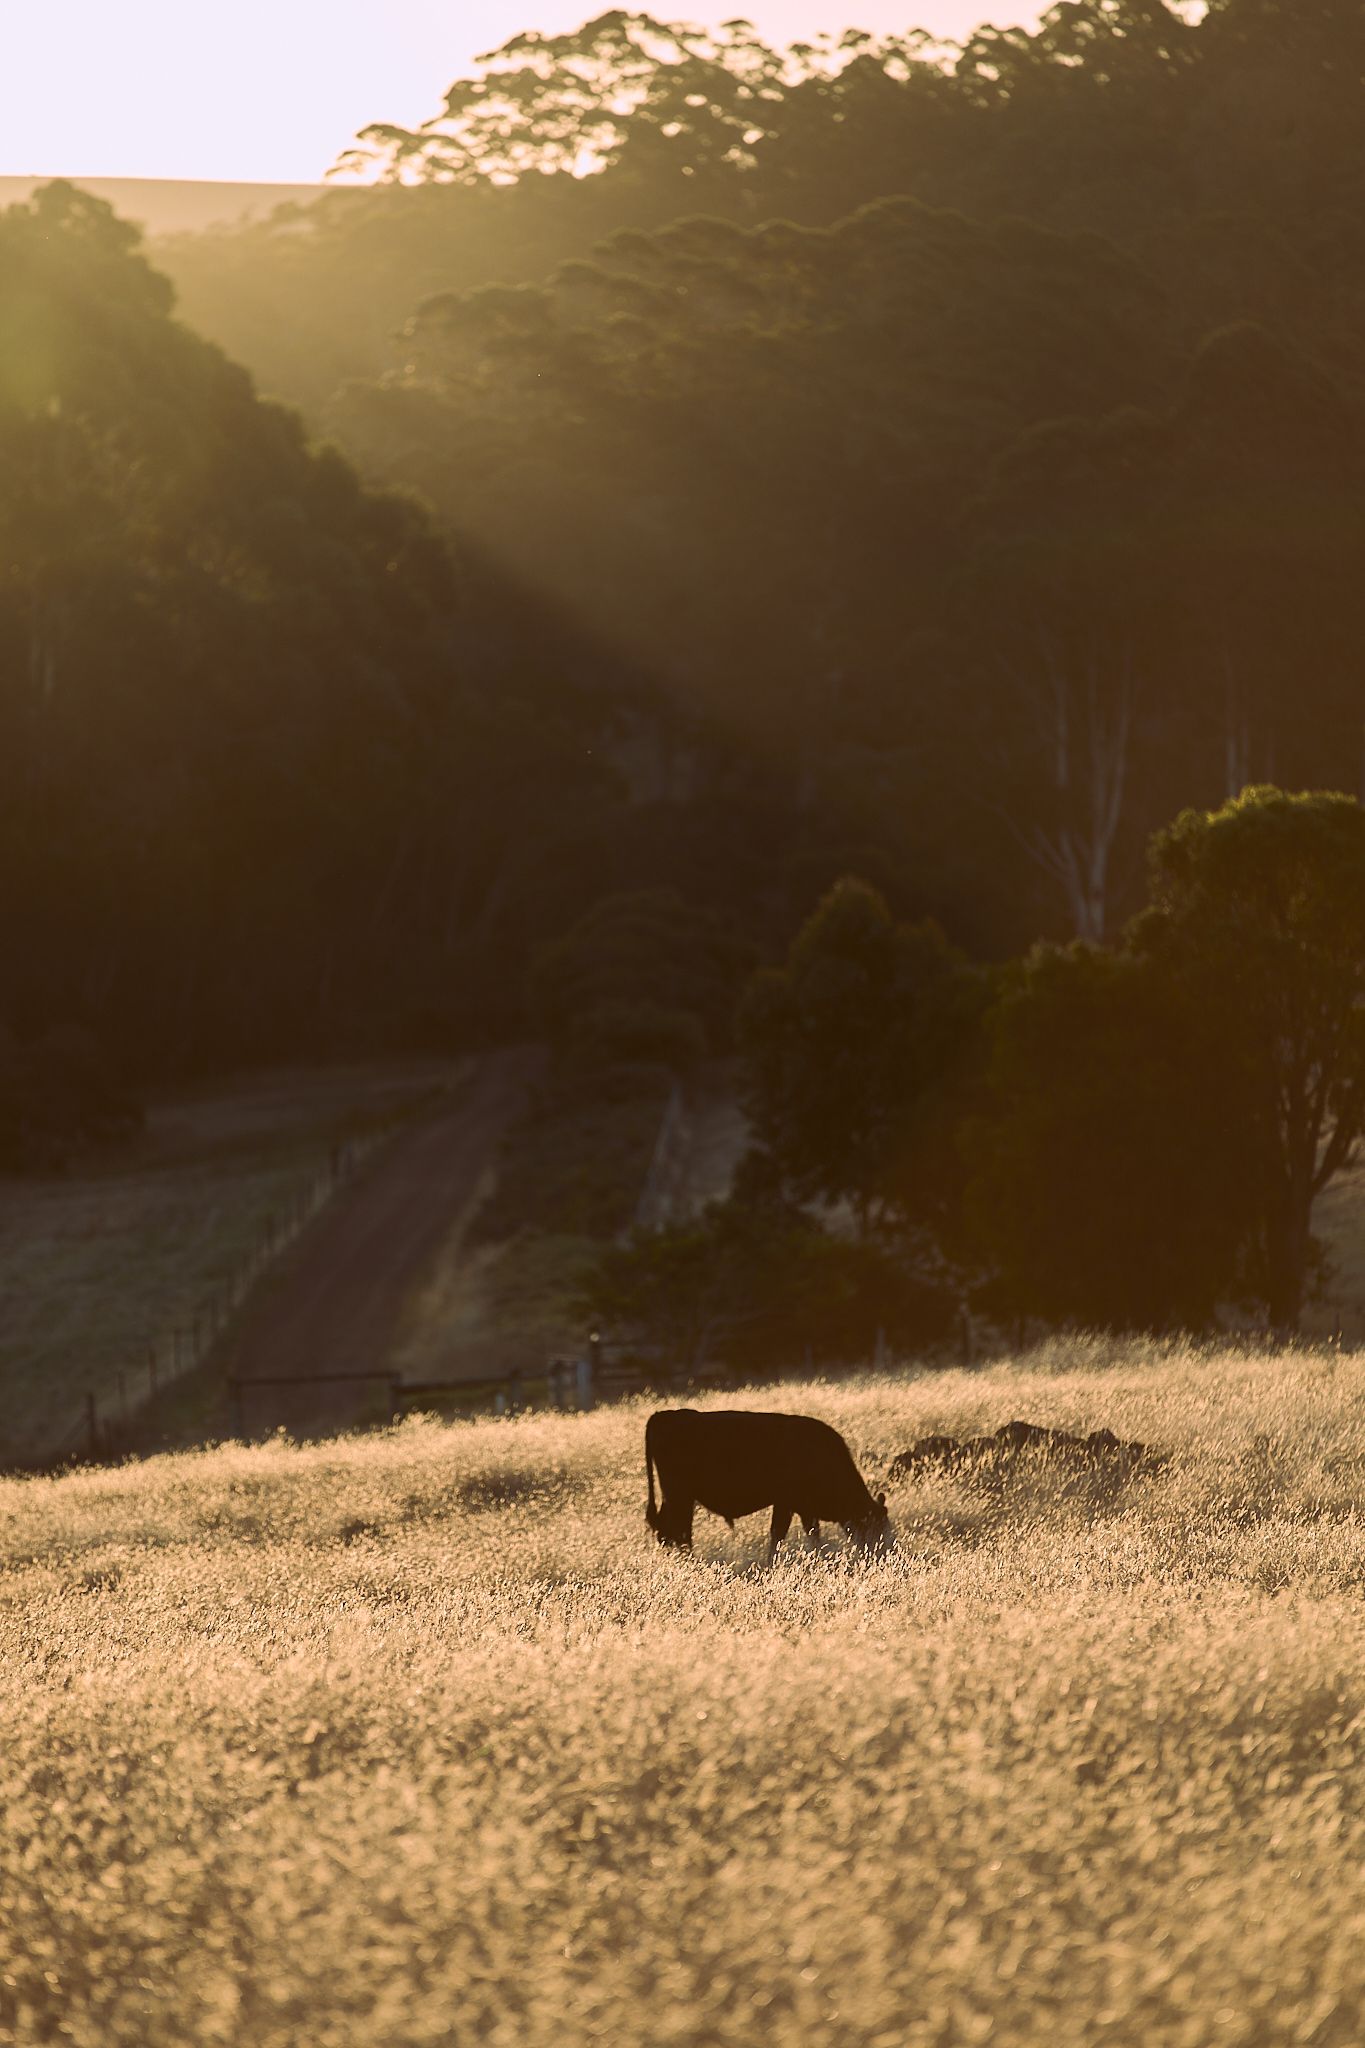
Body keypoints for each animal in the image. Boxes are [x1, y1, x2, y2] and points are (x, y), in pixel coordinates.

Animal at [645, 1408, 894, 1560]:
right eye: (876, 1527)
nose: (885, 1553)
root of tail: (662, 1415)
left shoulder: (803, 1509)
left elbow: (812, 1534)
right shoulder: (786, 1503)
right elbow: (778, 1534)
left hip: (674, 1497)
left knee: (666, 1529)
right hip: (680, 1496)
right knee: (679, 1530)